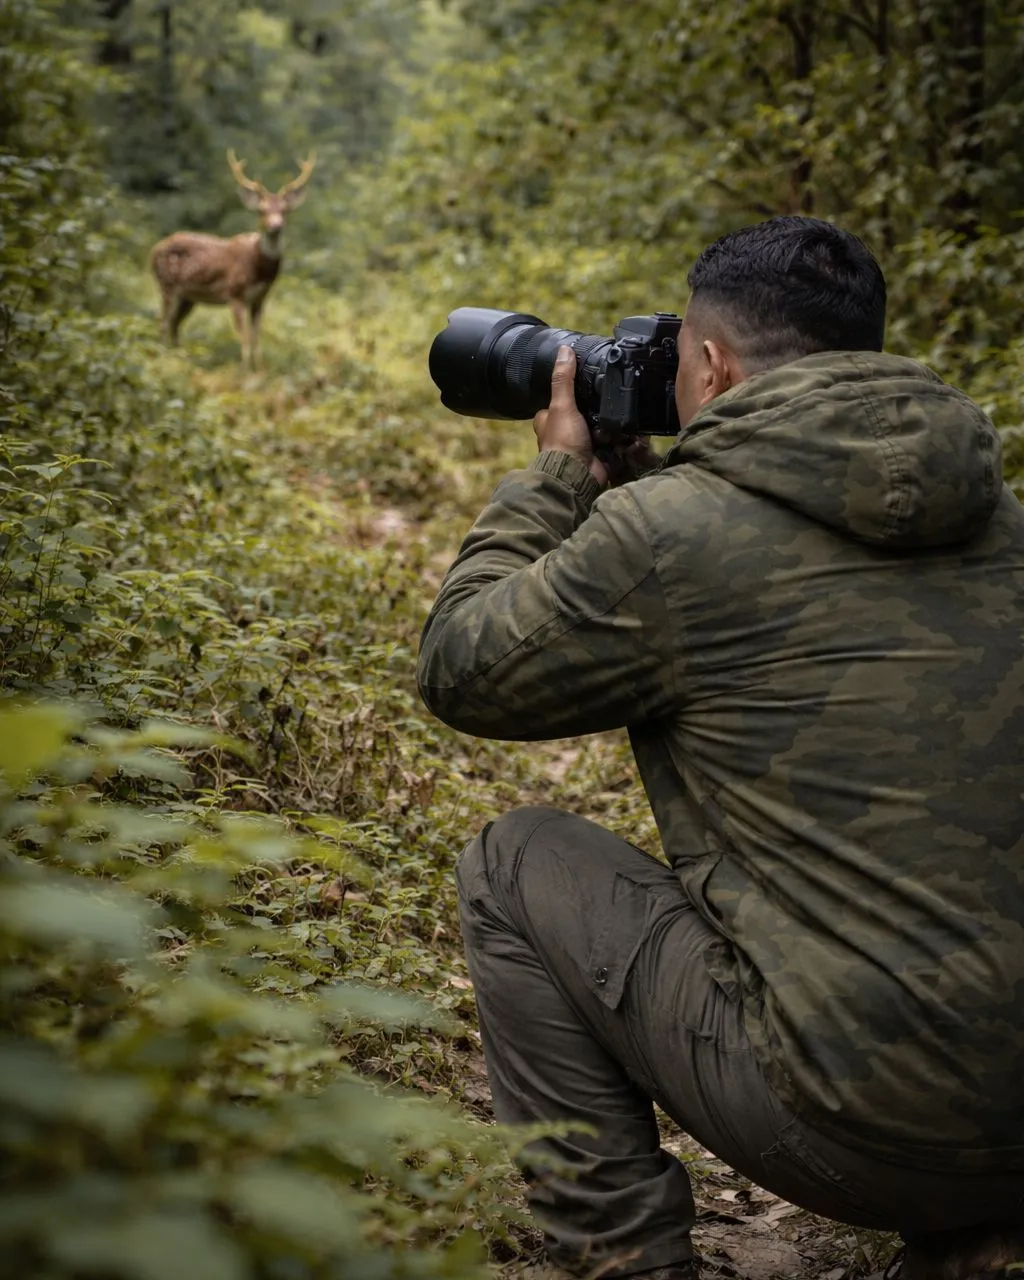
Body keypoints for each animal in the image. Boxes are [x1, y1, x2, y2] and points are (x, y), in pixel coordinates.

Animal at [149, 151, 317, 368]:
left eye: (284, 210)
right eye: (261, 210)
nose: (276, 226)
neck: (259, 267)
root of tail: (153, 251)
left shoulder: (260, 298)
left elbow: (256, 338)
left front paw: (259, 369)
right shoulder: (234, 294)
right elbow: (244, 338)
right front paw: (244, 369)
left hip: (188, 296)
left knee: (174, 324)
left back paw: (178, 356)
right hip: (166, 283)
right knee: (162, 321)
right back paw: (162, 356)